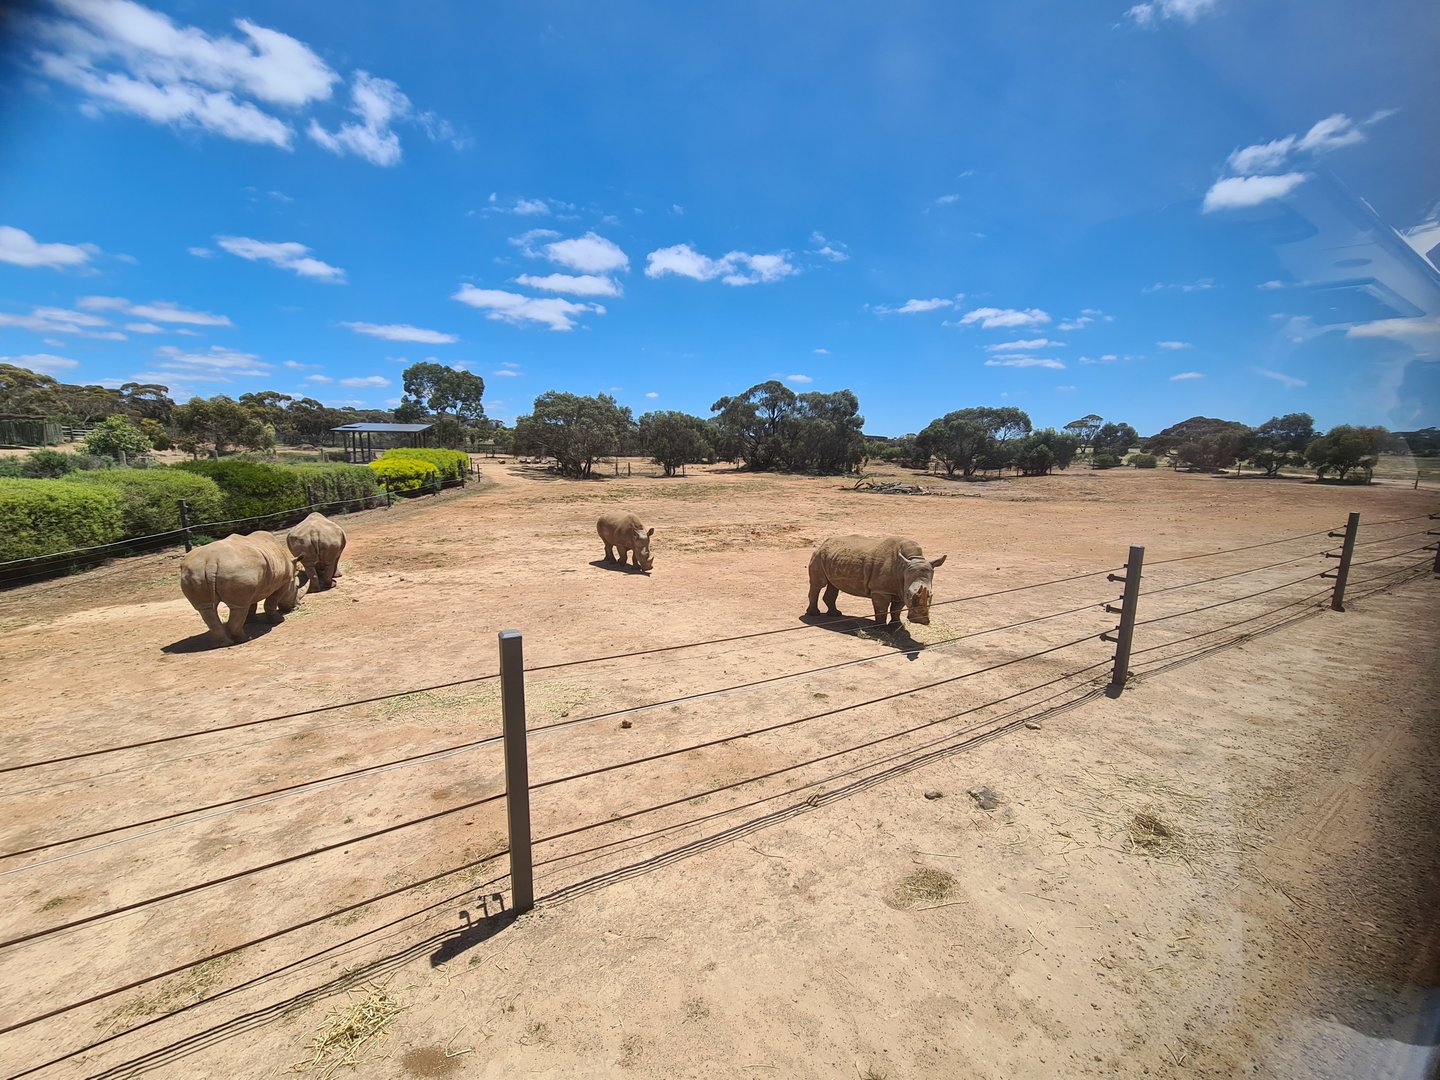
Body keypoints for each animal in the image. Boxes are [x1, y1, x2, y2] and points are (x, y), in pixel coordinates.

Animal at [806, 535, 947, 625]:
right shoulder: (881, 590)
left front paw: (896, 625)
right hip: (818, 555)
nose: (919, 621)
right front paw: (880, 627)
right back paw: (814, 614)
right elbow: (881, 609)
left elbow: (897, 609)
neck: (912, 560)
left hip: (832, 556)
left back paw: (835, 614)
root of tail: (824, 543)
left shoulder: (900, 587)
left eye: (931, 595)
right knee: (819, 584)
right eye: (908, 594)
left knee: (833, 585)